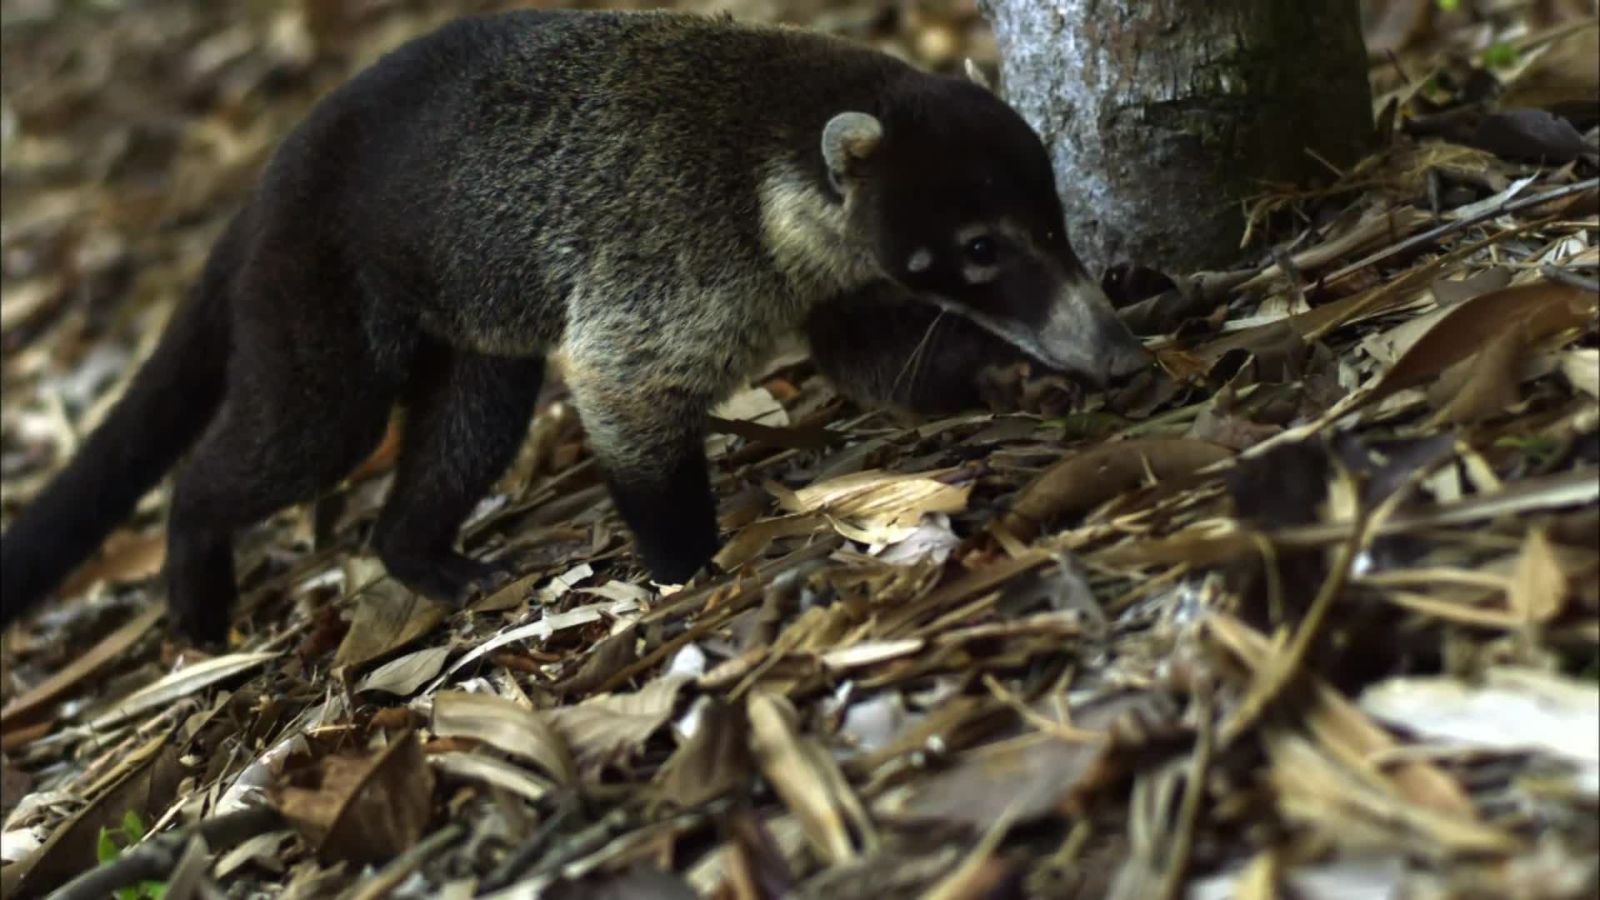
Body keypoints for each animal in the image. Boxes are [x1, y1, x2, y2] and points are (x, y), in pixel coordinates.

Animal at [0, 10, 1151, 642]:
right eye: (978, 249)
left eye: (1053, 225)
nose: (1116, 350)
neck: (784, 141)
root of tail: (261, 191)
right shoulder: (677, 255)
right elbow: (621, 388)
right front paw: (688, 563)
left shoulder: (827, 270)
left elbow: (872, 358)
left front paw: (1011, 379)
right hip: (313, 297)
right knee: (295, 434)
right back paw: (195, 572)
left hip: (469, 316)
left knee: (471, 416)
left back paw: (417, 552)